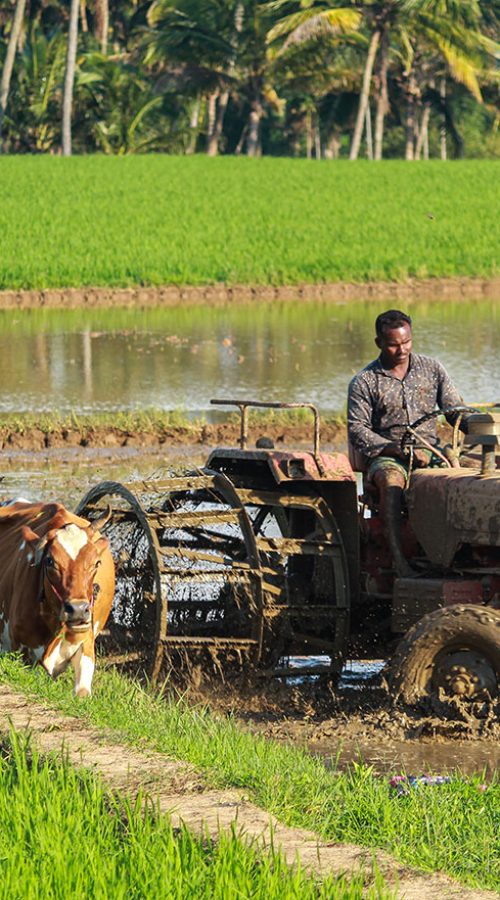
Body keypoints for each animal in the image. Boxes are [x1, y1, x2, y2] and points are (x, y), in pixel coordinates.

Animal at [0, 500, 114, 696]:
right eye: (50, 561)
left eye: (97, 563)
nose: (78, 610)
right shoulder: (18, 651)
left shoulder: (86, 642)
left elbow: (82, 692)